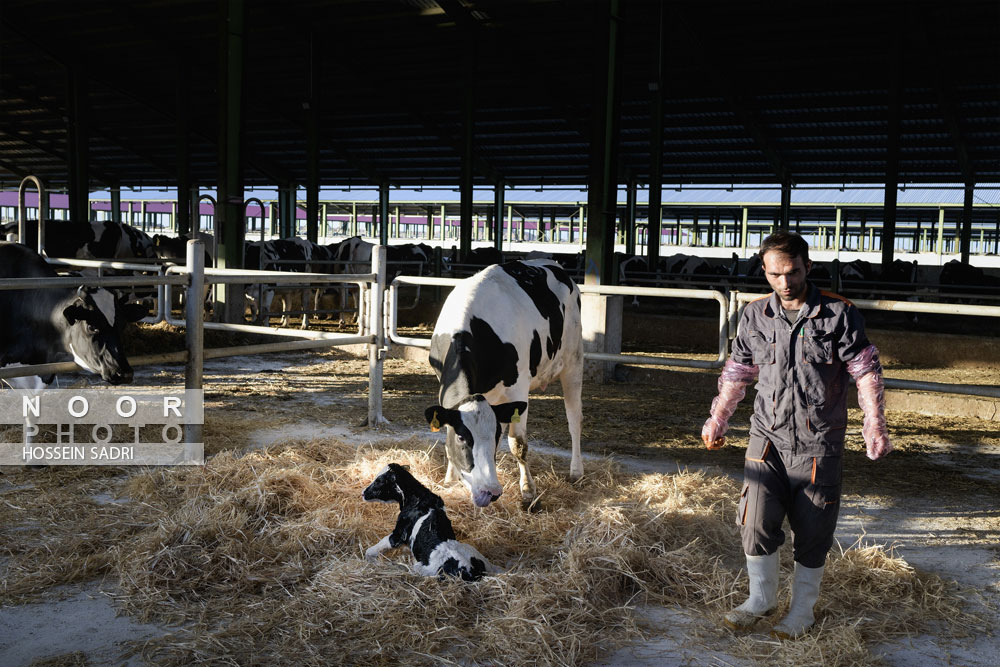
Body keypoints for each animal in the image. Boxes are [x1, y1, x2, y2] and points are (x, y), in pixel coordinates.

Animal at [362, 462, 498, 580]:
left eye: (379, 481)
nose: (363, 493)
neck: (419, 498)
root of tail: (470, 569)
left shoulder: (399, 532)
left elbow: (381, 544)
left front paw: (369, 556)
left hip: (421, 568)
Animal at [426, 258, 584, 508]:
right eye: (461, 438)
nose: (489, 491)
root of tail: (550, 262)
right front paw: (450, 479)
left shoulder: (518, 389)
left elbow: (518, 443)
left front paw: (528, 491)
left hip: (573, 360)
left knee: (575, 419)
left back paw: (576, 472)